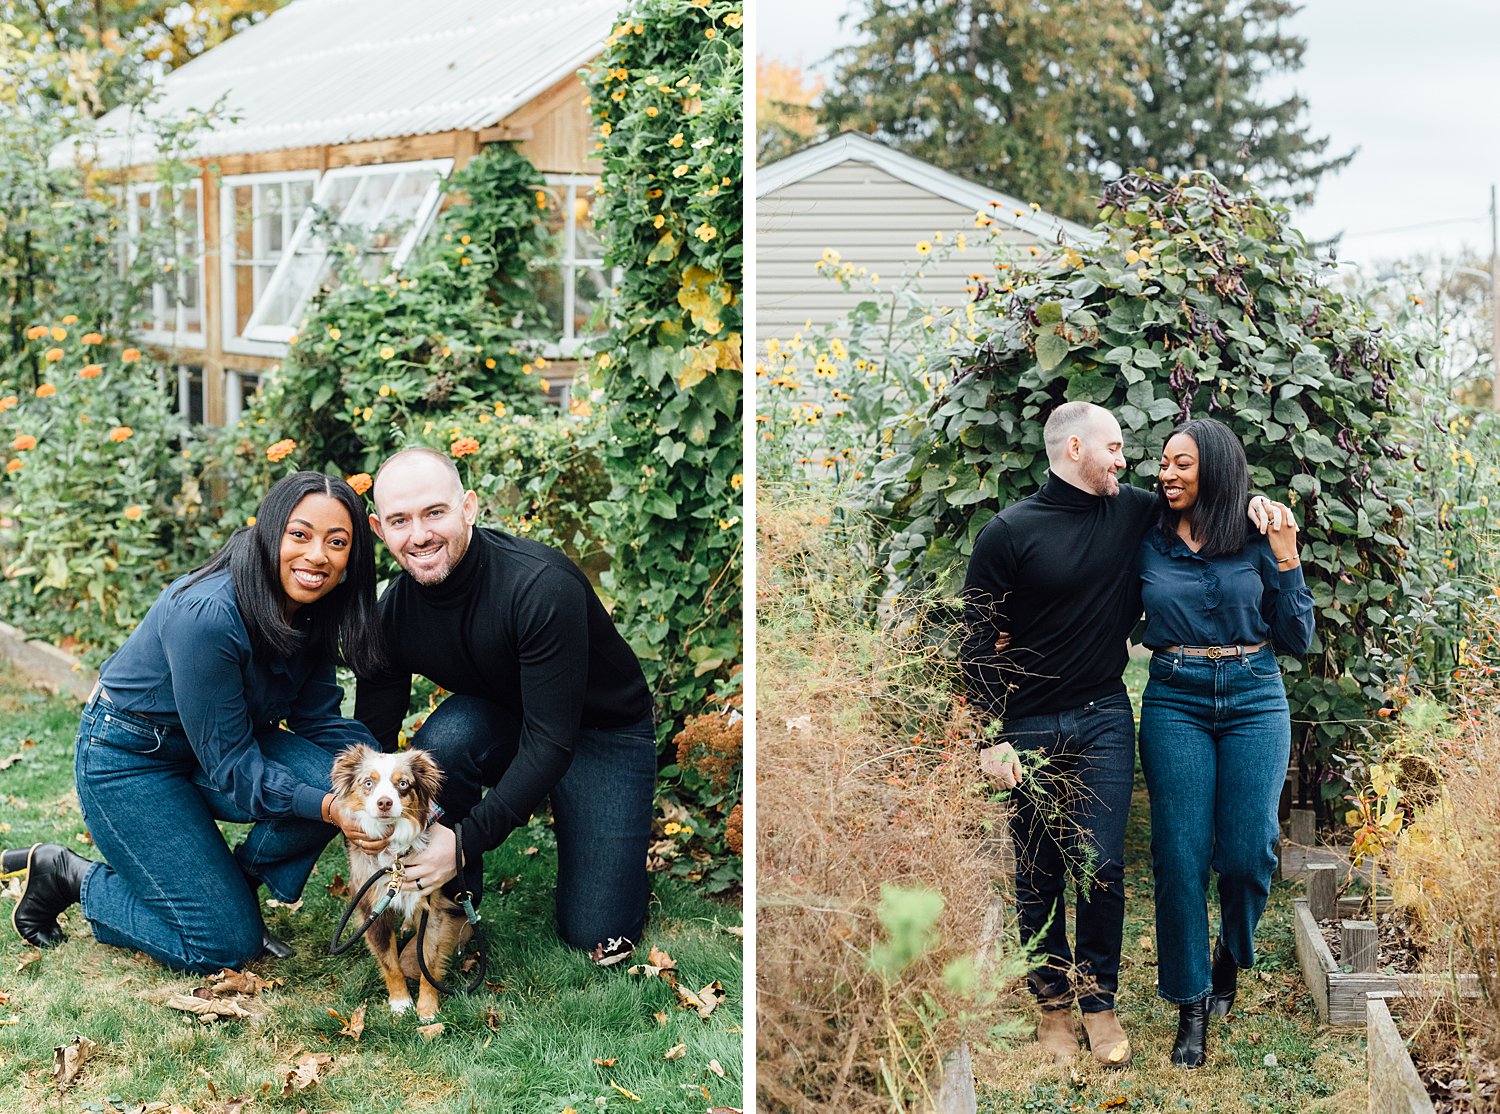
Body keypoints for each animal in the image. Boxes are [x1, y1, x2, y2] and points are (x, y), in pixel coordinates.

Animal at [331, 743, 471, 1025]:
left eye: (403, 784)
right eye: (368, 783)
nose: (385, 802)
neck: (395, 856)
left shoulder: (432, 907)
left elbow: (427, 959)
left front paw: (427, 1010)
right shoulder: (371, 910)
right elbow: (389, 962)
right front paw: (400, 1003)